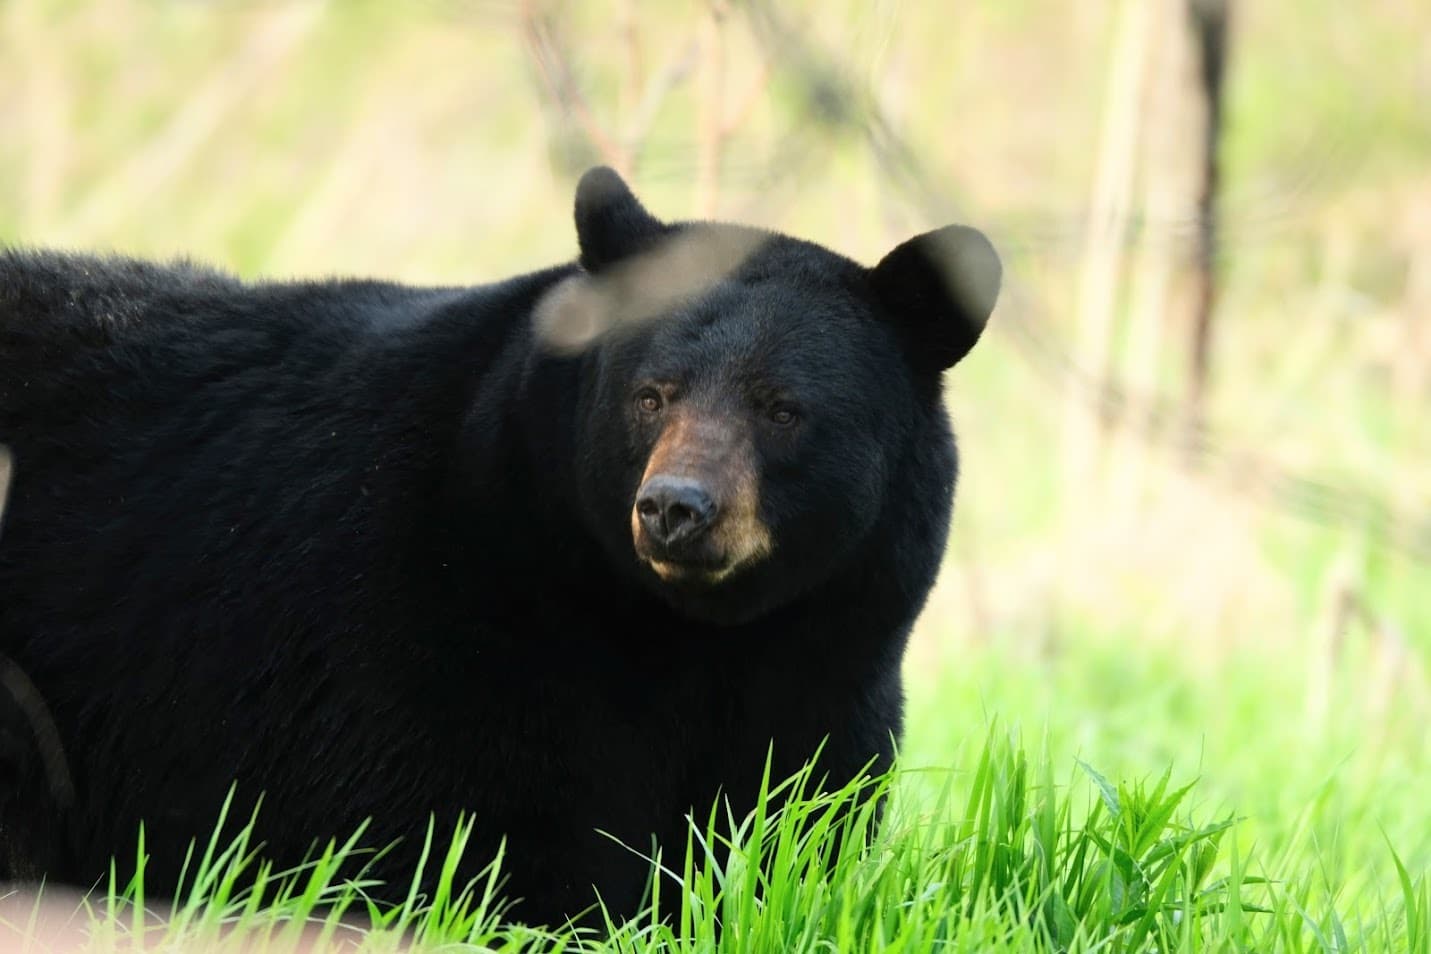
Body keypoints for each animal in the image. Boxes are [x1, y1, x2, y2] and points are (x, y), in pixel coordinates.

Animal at [0, 167, 1000, 926]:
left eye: (783, 409)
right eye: (651, 394)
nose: (675, 508)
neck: (680, 634)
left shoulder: (831, 657)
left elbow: (793, 819)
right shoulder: (434, 637)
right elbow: (474, 838)